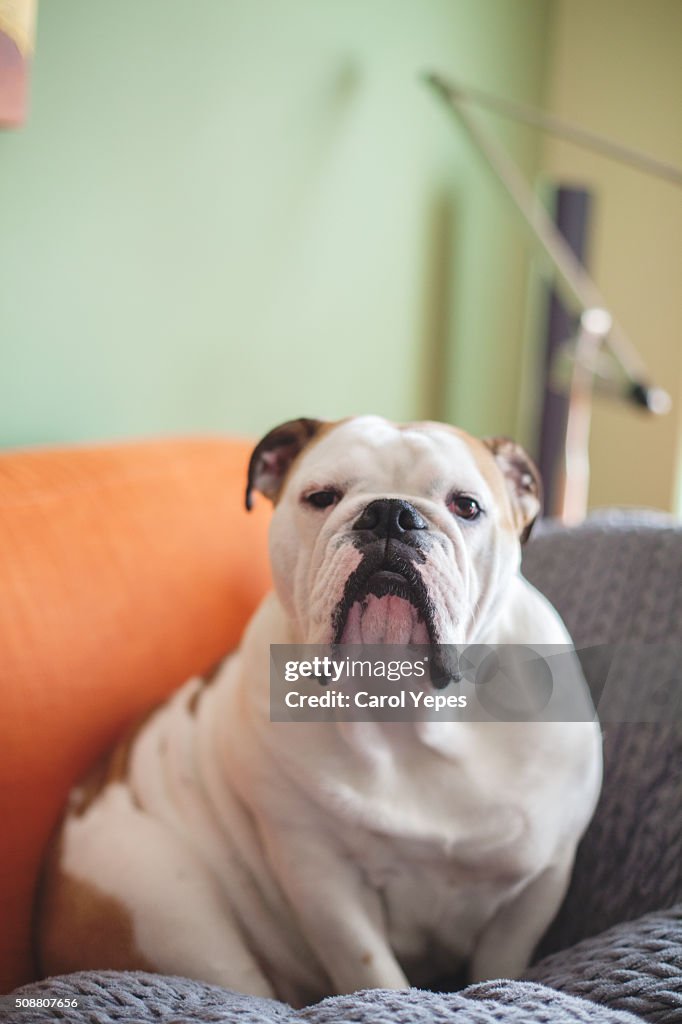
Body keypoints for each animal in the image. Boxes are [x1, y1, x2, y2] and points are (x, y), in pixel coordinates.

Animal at [38, 417, 602, 1007]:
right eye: (321, 497)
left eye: (466, 506)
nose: (391, 513)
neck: (408, 706)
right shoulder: (323, 880)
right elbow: (370, 967)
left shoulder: (542, 878)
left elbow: (504, 960)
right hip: (168, 907)